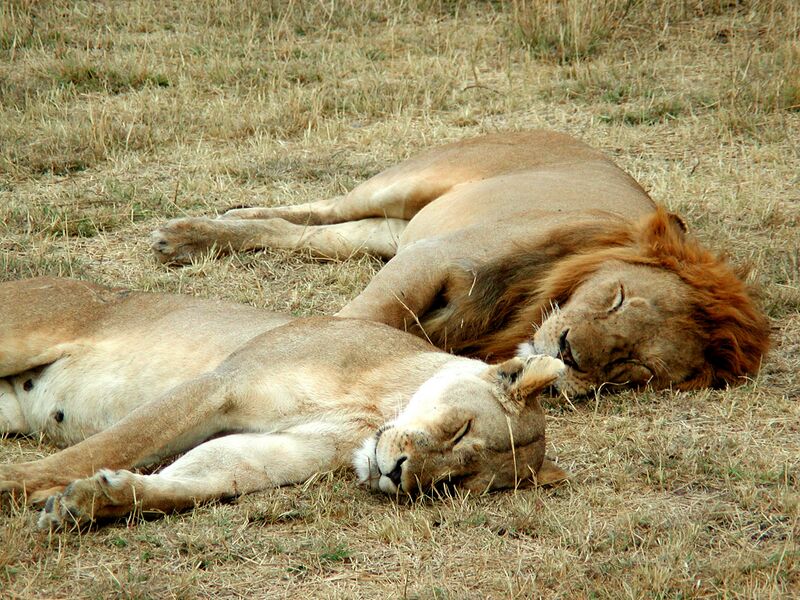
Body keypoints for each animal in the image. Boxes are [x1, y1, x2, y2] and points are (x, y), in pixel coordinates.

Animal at [0, 277, 567, 529]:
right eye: (460, 428)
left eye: (451, 484)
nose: (398, 474)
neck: (373, 409)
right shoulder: (219, 384)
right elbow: (111, 444)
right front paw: (19, 484)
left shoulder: (282, 450)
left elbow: (200, 479)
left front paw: (90, 501)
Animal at [151, 130, 770, 396]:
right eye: (617, 297)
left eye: (635, 368)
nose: (570, 353)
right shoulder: (434, 258)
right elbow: (361, 319)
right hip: (406, 184)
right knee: (318, 208)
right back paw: (188, 232)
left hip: (389, 232)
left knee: (308, 234)